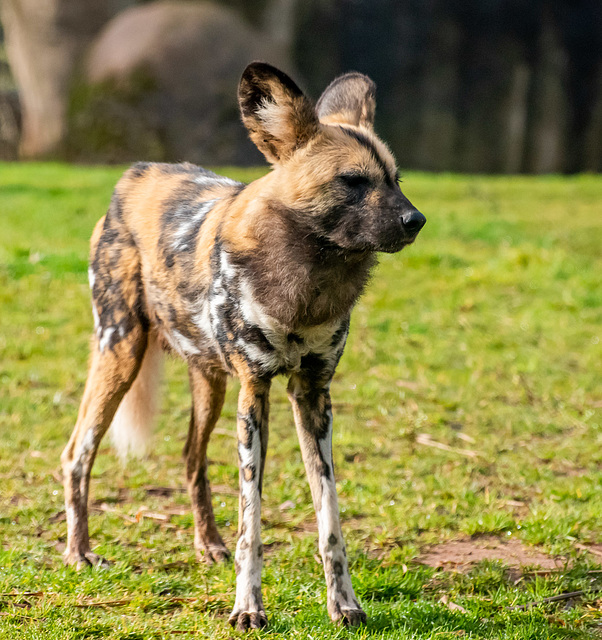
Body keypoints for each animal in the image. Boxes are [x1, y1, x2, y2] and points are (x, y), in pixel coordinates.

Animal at [61, 62, 424, 628]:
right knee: (77, 453)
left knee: (191, 457)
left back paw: (207, 543)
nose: (416, 220)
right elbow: (251, 521)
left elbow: (330, 518)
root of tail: (137, 173)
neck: (308, 278)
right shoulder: (255, 391)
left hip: (208, 381)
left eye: (395, 180)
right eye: (353, 181)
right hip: (119, 355)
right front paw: (248, 608)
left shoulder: (312, 396)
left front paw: (343, 604)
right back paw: (79, 553)